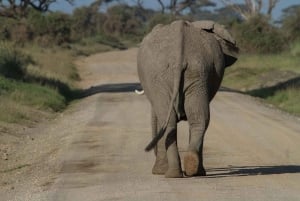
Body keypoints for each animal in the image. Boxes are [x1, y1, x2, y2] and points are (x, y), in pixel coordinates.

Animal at [138, 20, 239, 177]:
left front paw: (158, 172)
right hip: (197, 72)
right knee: (198, 119)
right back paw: (191, 169)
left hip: (168, 76)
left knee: (170, 121)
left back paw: (172, 174)